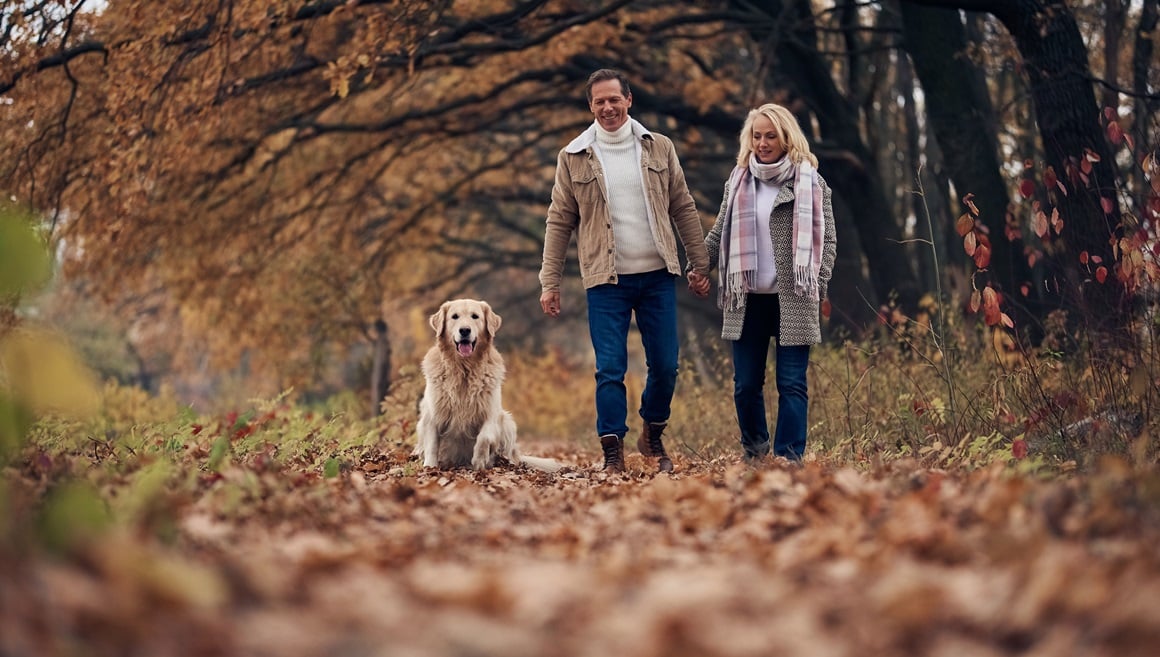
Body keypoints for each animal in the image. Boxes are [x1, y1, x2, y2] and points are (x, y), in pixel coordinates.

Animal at [415, 299, 563, 473]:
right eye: (454, 316)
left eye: (475, 316)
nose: (464, 330)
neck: (464, 369)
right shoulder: (432, 415)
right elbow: (432, 445)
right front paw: (430, 467)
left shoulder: (491, 413)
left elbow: (484, 438)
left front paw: (479, 461)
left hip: (507, 421)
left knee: (510, 453)